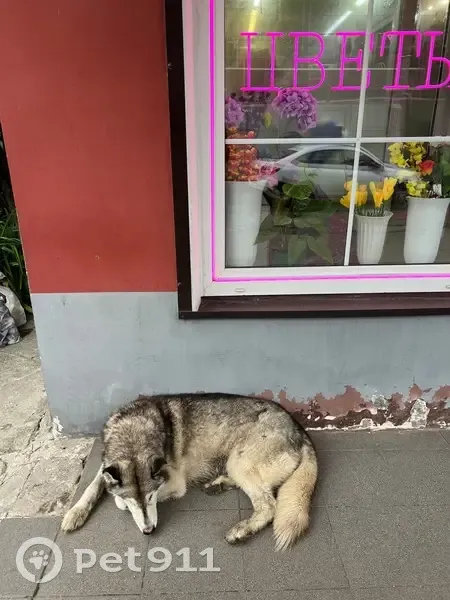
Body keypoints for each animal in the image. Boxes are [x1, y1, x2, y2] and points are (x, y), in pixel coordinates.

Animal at [61, 393, 318, 551]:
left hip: (239, 460)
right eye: (136, 500)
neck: (133, 435)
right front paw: (75, 513)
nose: (149, 531)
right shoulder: (106, 465)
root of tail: (300, 430)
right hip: (237, 464)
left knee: (268, 505)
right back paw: (220, 484)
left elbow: (117, 501)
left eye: (151, 497)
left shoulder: (174, 483)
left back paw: (241, 530)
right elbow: (94, 486)